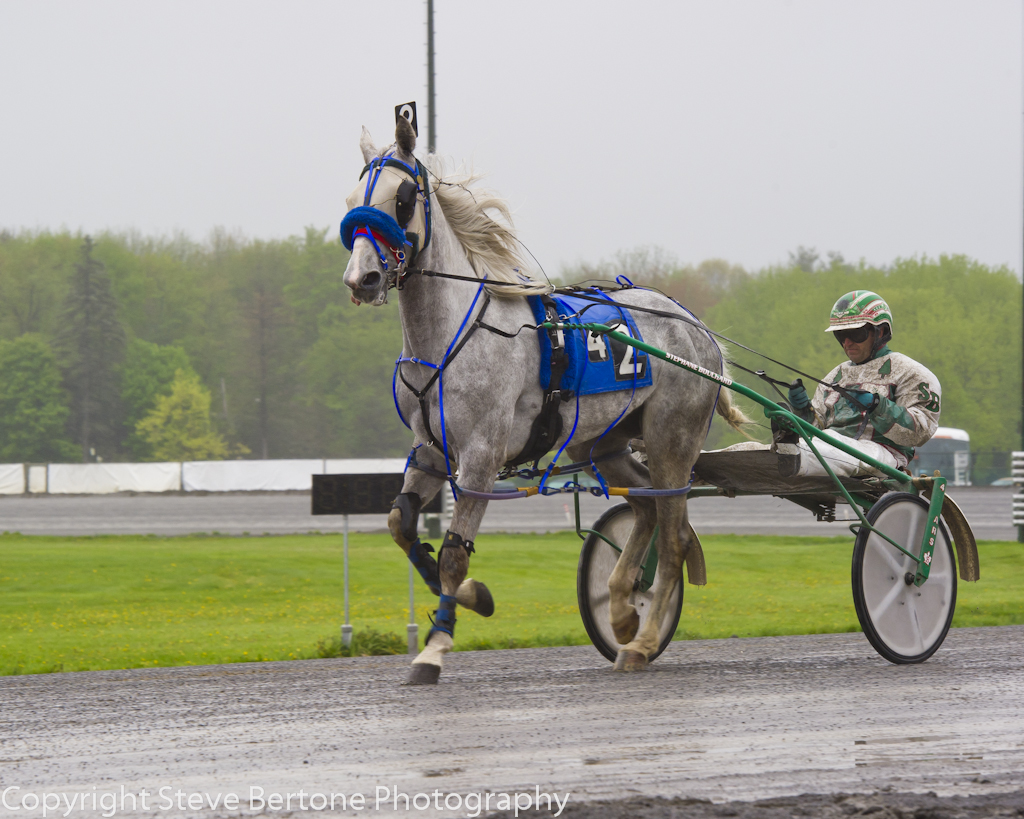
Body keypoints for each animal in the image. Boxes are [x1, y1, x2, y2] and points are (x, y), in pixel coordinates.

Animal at [339, 112, 749, 679]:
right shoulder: (430, 450)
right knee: (644, 507)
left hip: (673, 439)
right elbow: (401, 525)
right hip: (600, 441)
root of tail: (696, 327)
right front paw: (472, 595)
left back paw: (641, 641)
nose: (363, 277)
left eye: (400, 199)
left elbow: (454, 553)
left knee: (673, 535)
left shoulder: (481, 454)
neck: (449, 336)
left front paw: (435, 647)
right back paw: (622, 609)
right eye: (353, 196)